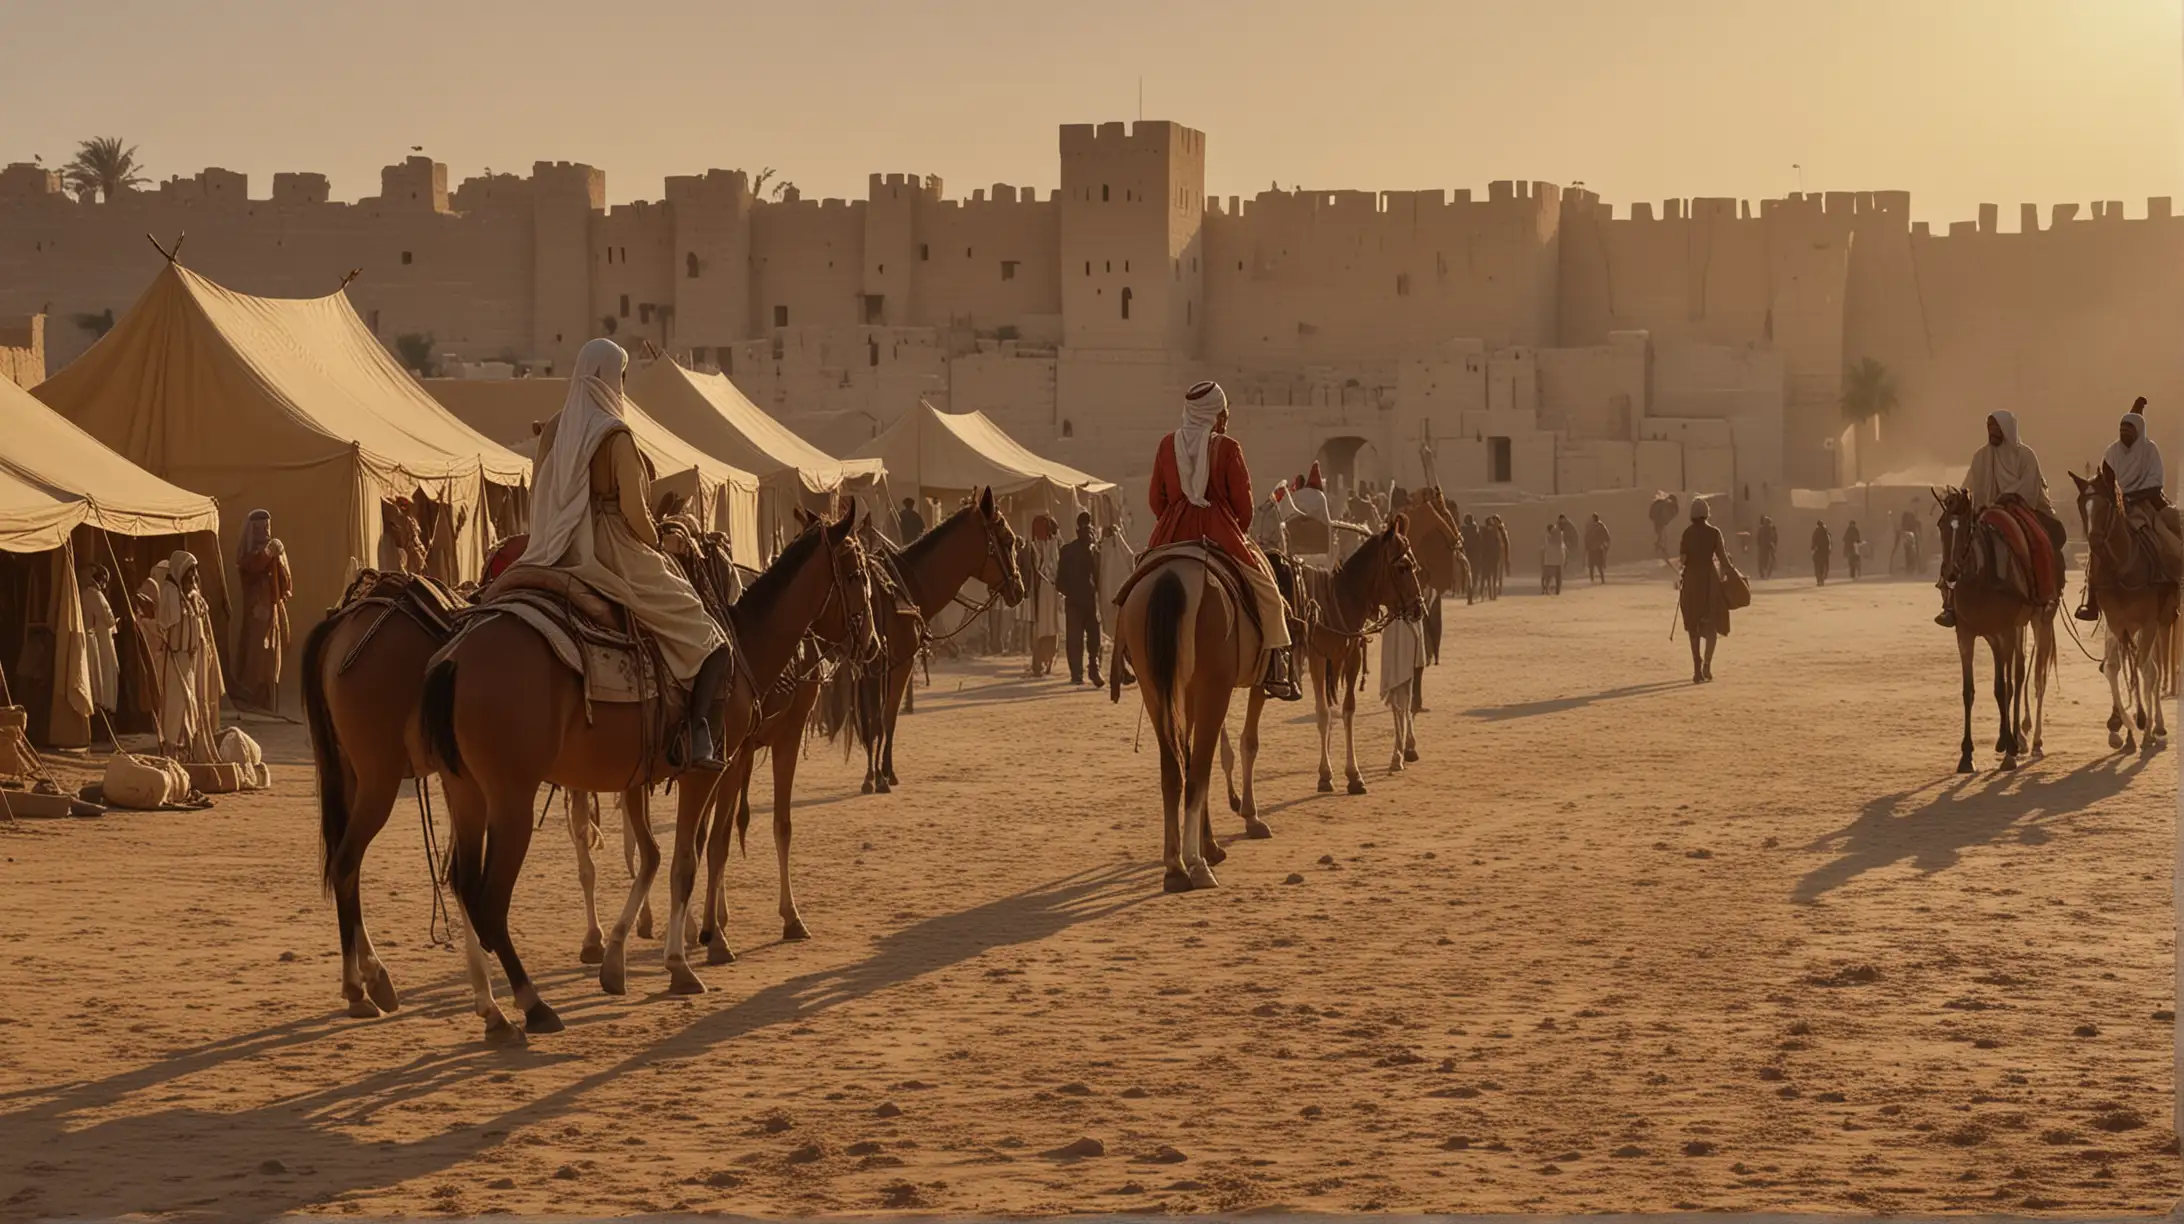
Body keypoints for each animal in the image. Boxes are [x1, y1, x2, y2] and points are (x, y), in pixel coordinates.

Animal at [421, 509, 873, 1040]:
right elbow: (687, 859)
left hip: (464, 790)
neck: (744, 645)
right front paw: (683, 962)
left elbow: (655, 856)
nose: (872, 640)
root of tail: (454, 660)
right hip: (512, 795)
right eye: (856, 573)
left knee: (461, 880)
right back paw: (534, 1006)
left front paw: (616, 959)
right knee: (489, 897)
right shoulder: (710, 768)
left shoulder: (638, 775)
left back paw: (492, 1008)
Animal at [1939, 489, 2052, 769]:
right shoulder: (1966, 634)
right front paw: (1966, 755)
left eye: (1966, 529)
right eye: (1941, 526)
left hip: (2037, 620)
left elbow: (2005, 686)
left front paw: (2010, 749)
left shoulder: (2006, 630)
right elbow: (1970, 691)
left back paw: (2028, 741)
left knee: (2028, 677)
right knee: (2012, 675)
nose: (1950, 573)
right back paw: (2010, 738)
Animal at [2070, 461, 2175, 751]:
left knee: (2152, 668)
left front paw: (2144, 726)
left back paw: (2156, 725)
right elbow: (2114, 668)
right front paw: (2126, 724)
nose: (2094, 542)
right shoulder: (2118, 623)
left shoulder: (2148, 622)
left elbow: (2145, 670)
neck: (2125, 568)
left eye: (2105, 505)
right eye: (2082, 503)